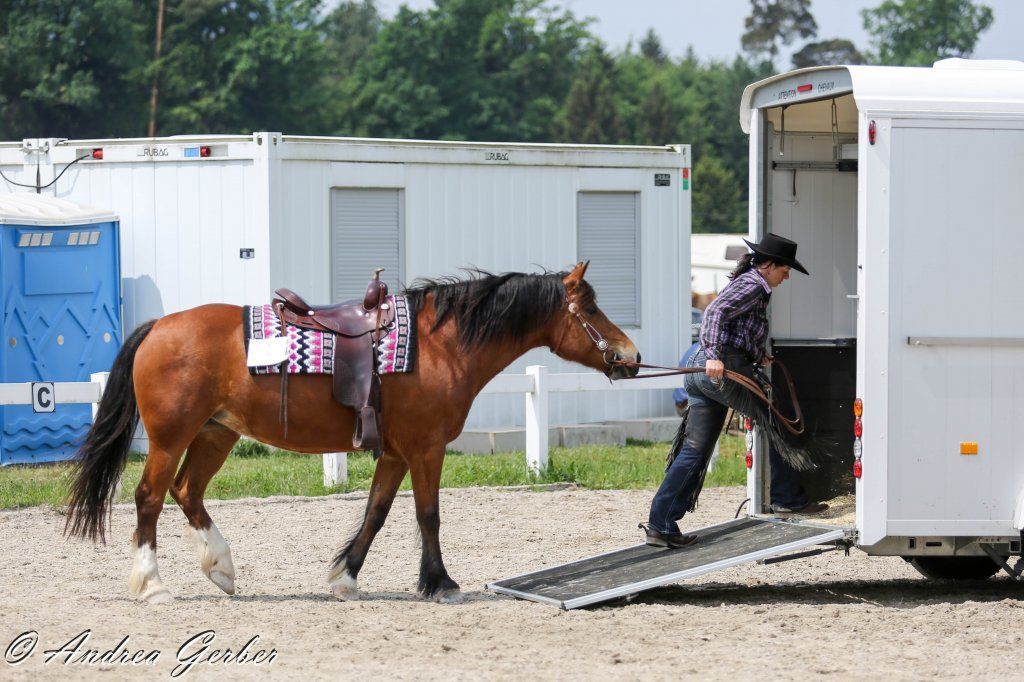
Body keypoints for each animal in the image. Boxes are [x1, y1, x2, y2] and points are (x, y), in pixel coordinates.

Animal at [64, 262, 640, 604]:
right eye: (590, 308)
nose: (630, 356)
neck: (441, 345)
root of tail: (158, 327)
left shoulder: (396, 454)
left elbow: (377, 513)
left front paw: (346, 577)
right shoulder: (426, 449)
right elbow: (428, 516)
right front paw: (440, 583)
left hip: (215, 434)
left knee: (188, 493)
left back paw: (221, 568)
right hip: (171, 438)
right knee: (149, 498)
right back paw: (151, 584)